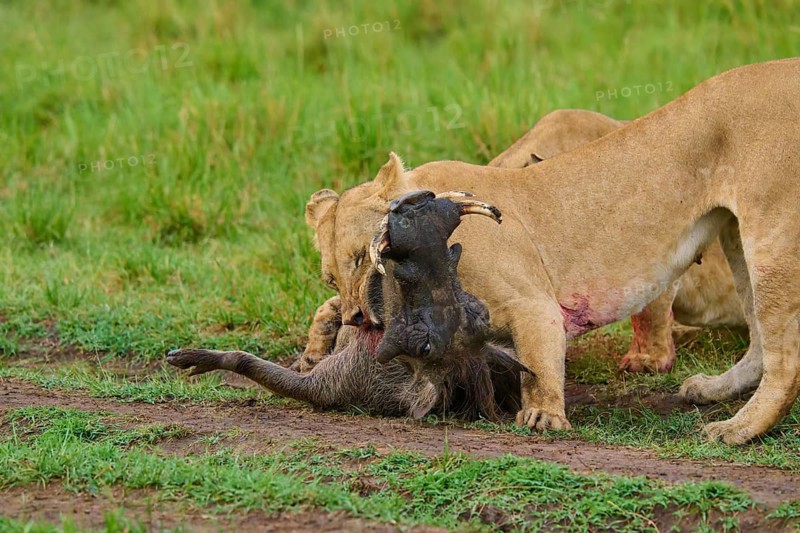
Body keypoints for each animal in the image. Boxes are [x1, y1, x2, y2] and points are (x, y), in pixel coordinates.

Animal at [304, 58, 800, 444]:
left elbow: (540, 361)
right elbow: (325, 307)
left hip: (772, 236)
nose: (358, 320)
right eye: (331, 274)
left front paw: (543, 415)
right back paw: (713, 391)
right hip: (735, 235)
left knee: (784, 357)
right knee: (759, 338)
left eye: (361, 259)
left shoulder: (533, 303)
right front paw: (315, 347)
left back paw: (738, 429)